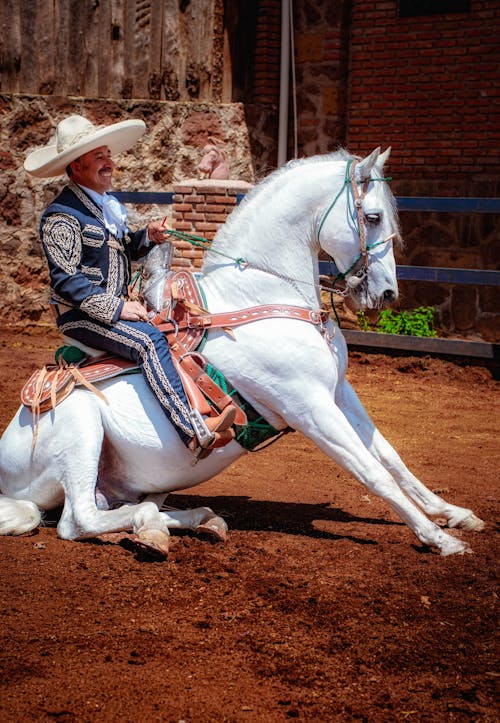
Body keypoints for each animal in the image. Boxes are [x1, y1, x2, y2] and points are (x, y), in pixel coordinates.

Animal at [0, 147, 484, 556]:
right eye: (373, 216)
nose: (386, 293)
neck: (263, 294)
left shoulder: (339, 392)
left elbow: (391, 457)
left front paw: (454, 515)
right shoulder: (309, 408)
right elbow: (374, 473)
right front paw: (438, 538)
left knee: (122, 506)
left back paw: (196, 519)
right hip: (82, 431)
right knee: (79, 520)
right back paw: (156, 527)